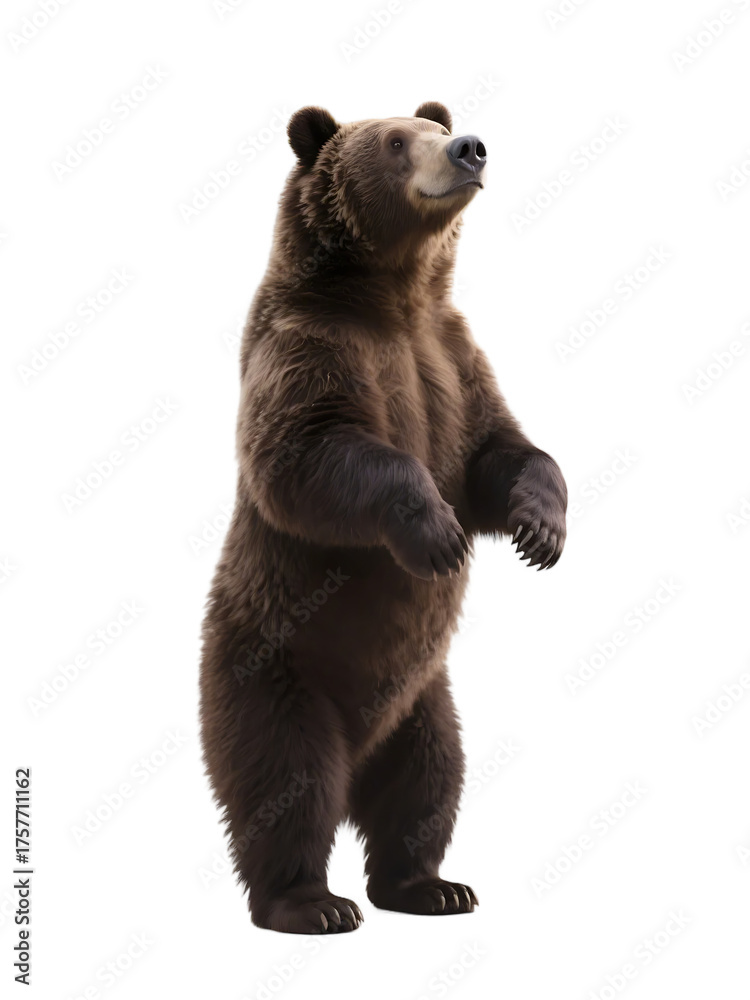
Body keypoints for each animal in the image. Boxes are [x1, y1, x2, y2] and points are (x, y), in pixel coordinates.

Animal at [200, 102, 567, 934]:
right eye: (397, 142)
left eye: (438, 125)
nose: (468, 148)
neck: (392, 295)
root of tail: (359, 746)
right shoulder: (308, 349)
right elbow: (309, 456)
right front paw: (438, 535)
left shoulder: (453, 358)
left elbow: (501, 451)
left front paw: (541, 532)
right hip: (272, 665)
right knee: (286, 778)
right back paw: (309, 901)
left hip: (424, 699)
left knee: (428, 780)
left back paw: (429, 886)